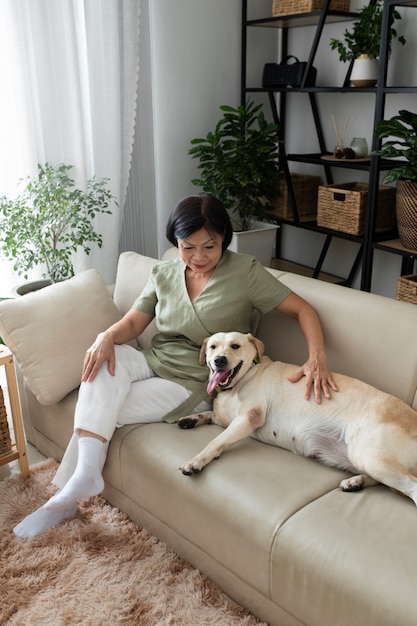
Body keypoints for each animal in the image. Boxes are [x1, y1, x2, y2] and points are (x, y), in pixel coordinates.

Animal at [176, 330, 417, 504]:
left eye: (235, 346)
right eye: (213, 347)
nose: (219, 360)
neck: (239, 381)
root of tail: (414, 417)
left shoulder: (249, 417)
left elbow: (215, 441)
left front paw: (196, 461)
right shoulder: (226, 418)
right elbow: (210, 414)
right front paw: (191, 418)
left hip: (369, 455)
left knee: (411, 486)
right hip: (364, 459)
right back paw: (355, 482)